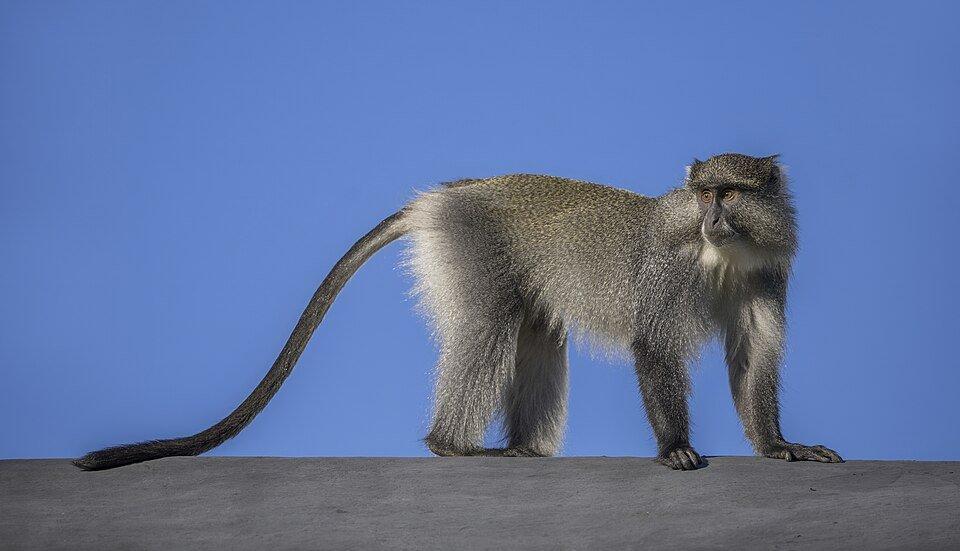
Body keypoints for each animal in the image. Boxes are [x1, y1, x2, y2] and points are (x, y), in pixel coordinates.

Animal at [74, 152, 842, 471]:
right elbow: (654, 346)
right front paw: (676, 446)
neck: (719, 253)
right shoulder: (668, 270)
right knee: (490, 322)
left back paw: (521, 446)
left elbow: (754, 355)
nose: (710, 212)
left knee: (535, 328)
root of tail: (450, 194)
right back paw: (453, 444)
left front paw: (780, 444)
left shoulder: (767, 272)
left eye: (731, 193)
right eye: (704, 191)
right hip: (471, 242)